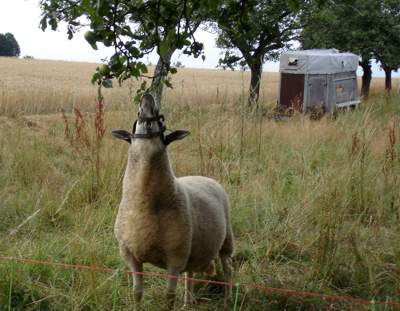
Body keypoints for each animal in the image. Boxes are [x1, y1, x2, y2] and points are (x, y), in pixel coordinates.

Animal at [111, 94, 234, 310]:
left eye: (160, 120)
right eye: (138, 114)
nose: (147, 96)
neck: (143, 203)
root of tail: (204, 177)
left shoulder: (175, 258)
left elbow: (169, 296)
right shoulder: (131, 255)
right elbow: (136, 293)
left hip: (226, 239)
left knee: (227, 268)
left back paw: (227, 300)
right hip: (192, 250)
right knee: (190, 274)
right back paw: (187, 302)